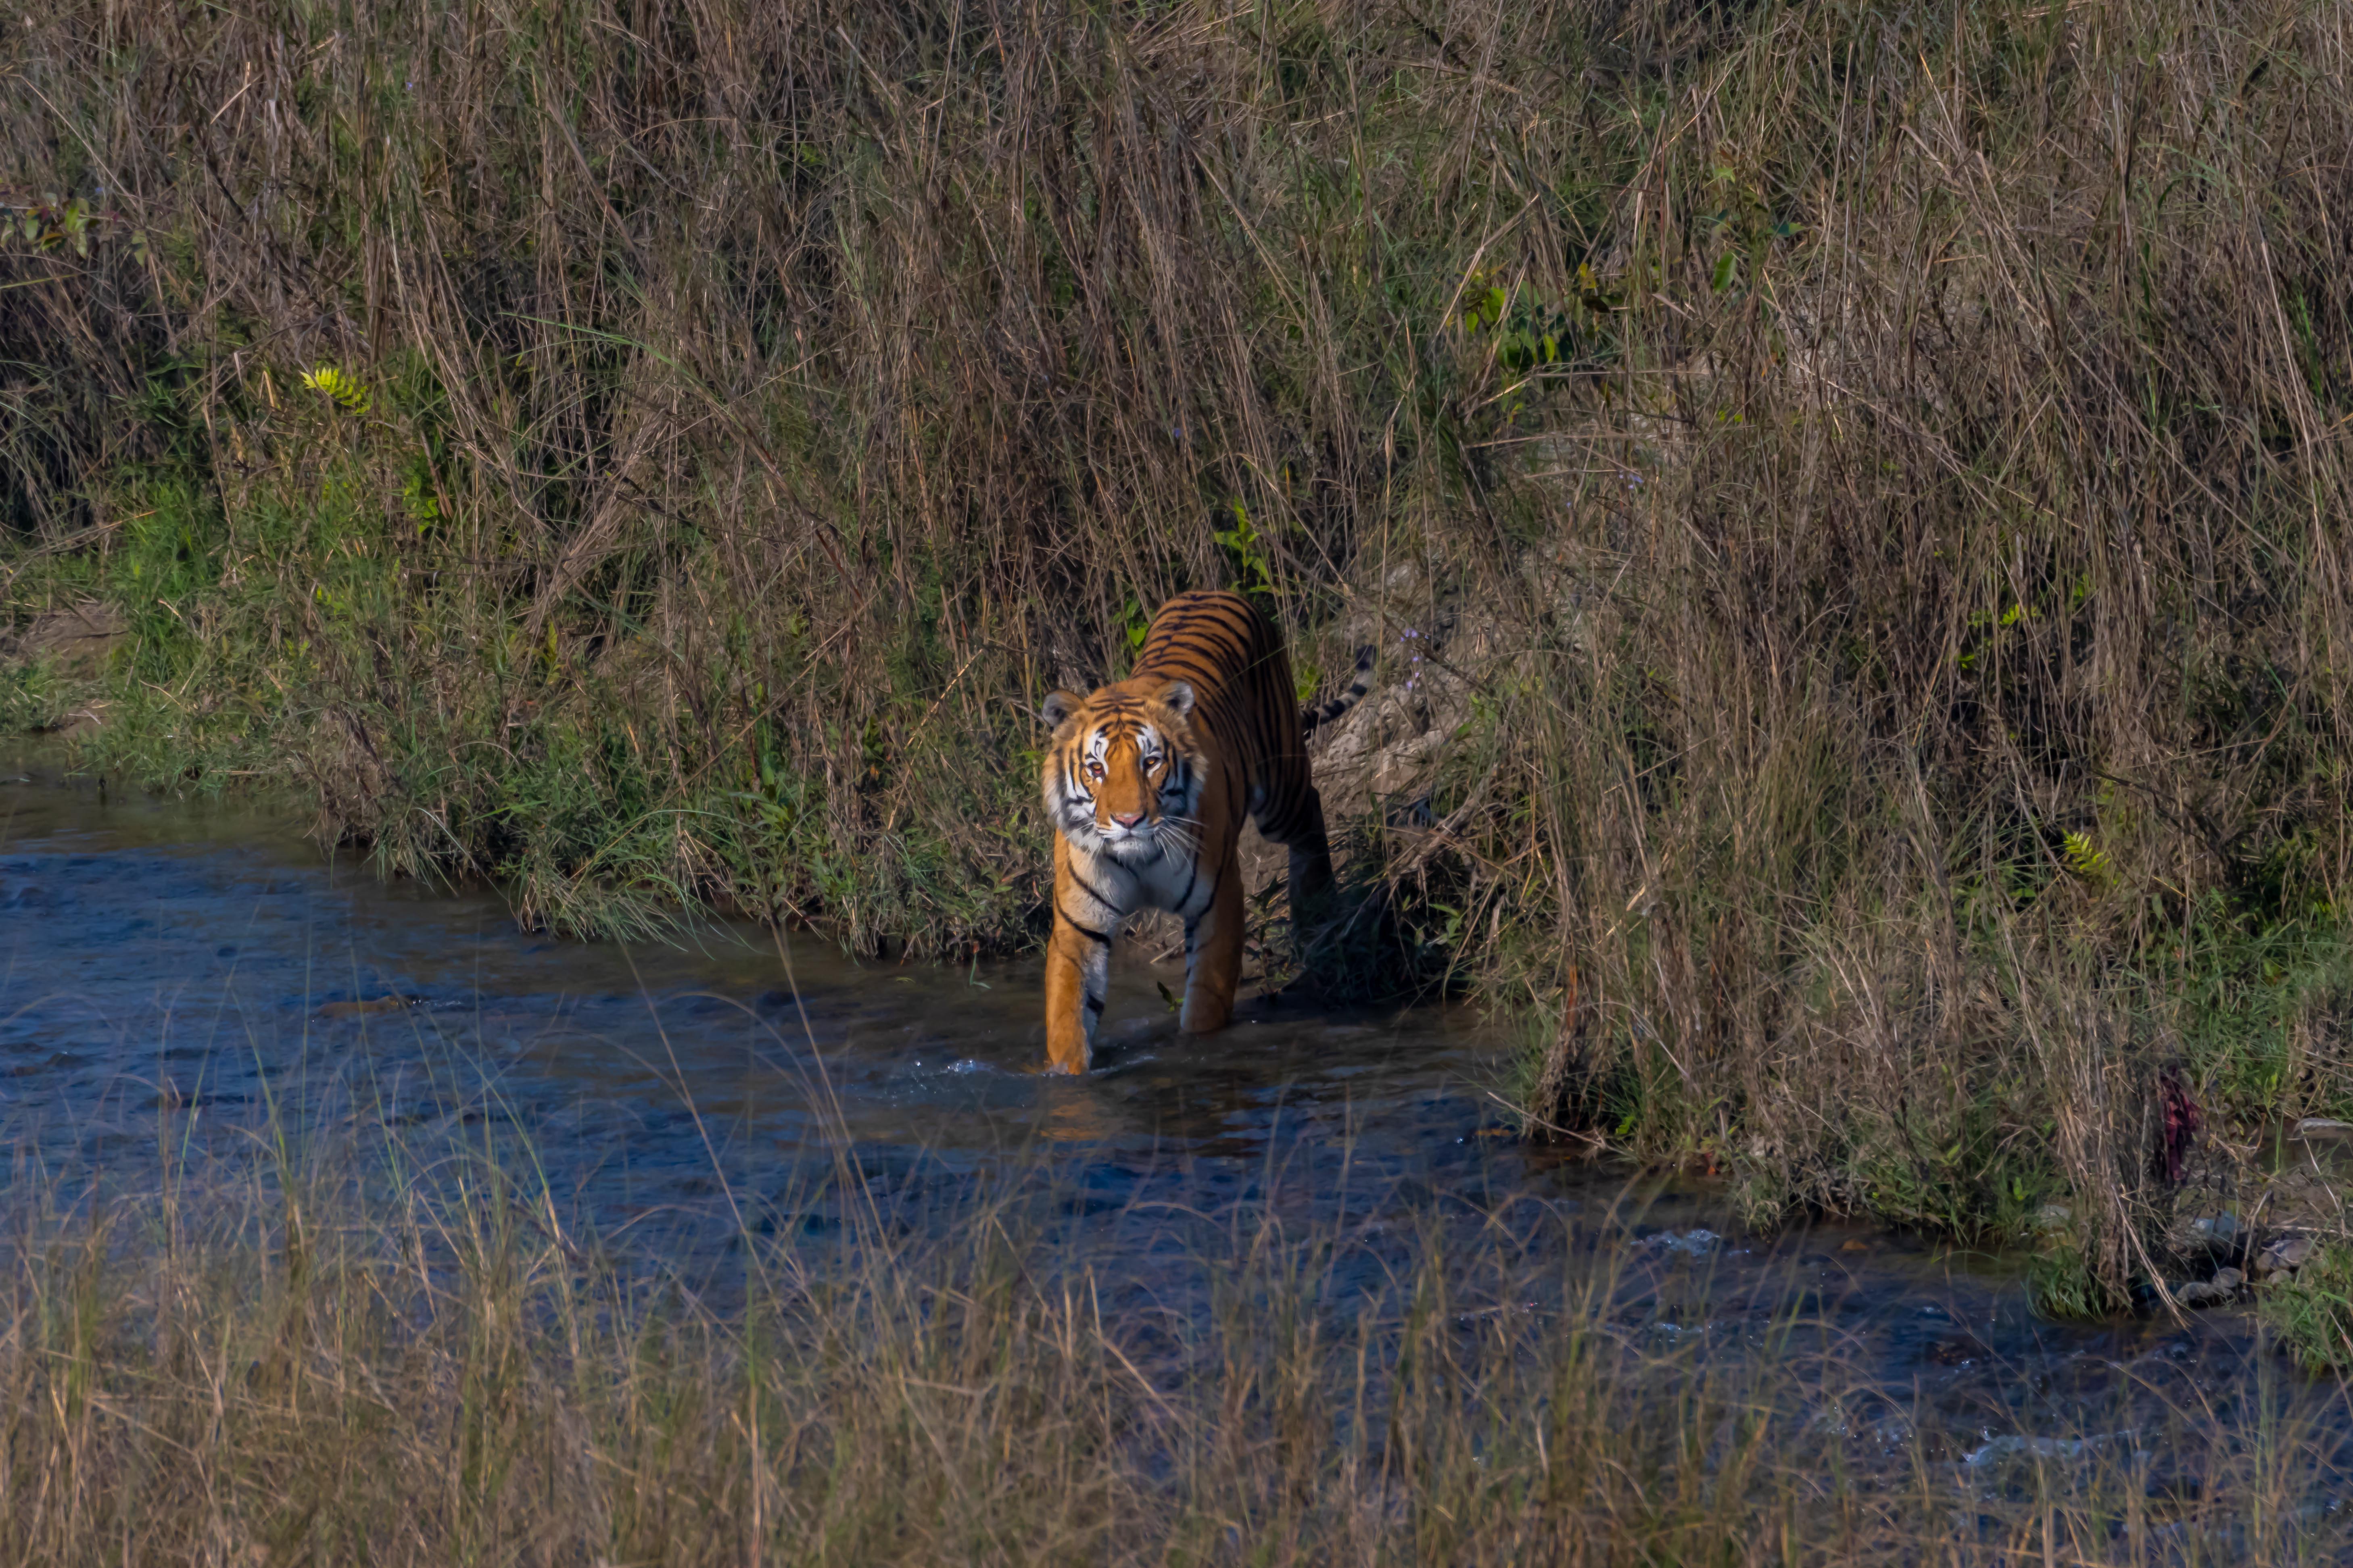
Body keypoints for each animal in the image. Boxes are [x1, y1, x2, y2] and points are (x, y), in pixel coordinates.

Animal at [1036, 590, 1372, 1074]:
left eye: (1150, 763)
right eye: (1096, 769)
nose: (1129, 821)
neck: (1138, 857)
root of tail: (1216, 592)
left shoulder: (1218, 902)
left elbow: (1204, 1009)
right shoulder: (1079, 925)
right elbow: (1068, 1017)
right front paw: (1067, 1076)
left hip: (1280, 788)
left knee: (1310, 806)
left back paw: (1314, 909)